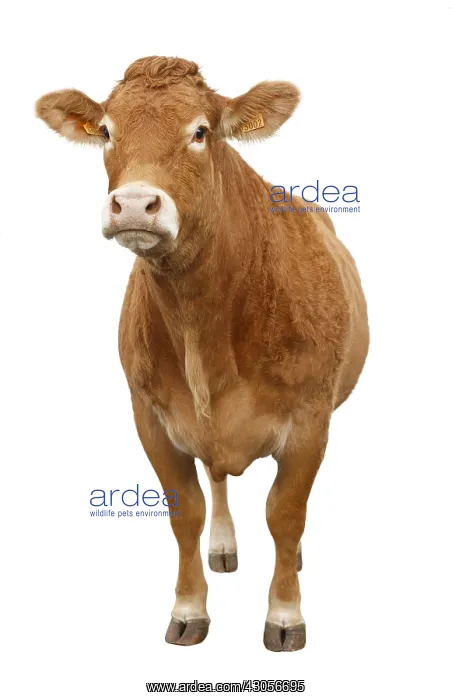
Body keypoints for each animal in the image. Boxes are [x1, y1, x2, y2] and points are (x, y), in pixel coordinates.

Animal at [36, 56, 369, 652]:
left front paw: (285, 614)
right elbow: (184, 512)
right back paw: (223, 546)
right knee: (217, 480)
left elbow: (286, 513)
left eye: (200, 132)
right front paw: (189, 608)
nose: (135, 203)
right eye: (106, 131)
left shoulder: (310, 420)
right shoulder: (149, 416)